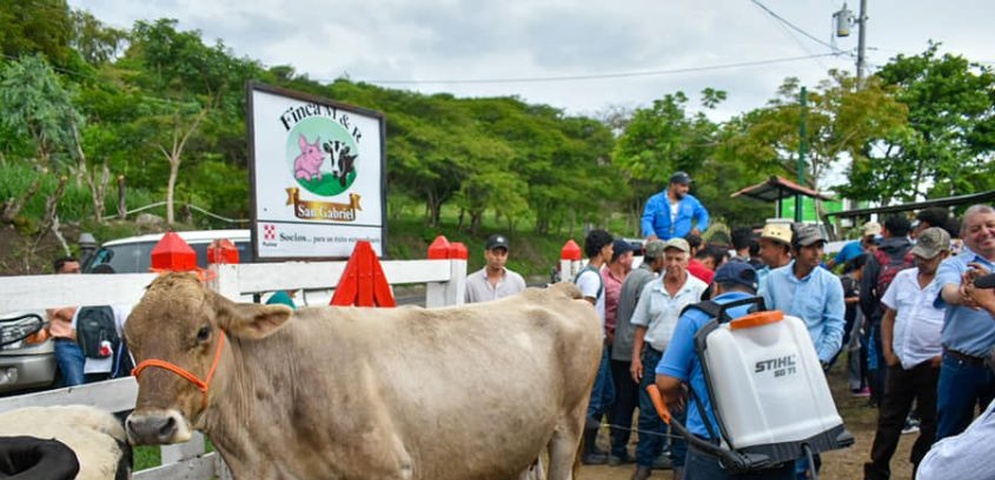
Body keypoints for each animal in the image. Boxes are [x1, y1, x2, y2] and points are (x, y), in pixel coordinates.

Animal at [120, 274, 596, 480]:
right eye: (129, 338)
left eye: (203, 331)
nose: (148, 425)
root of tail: (555, 290)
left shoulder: (390, 470)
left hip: (568, 427)